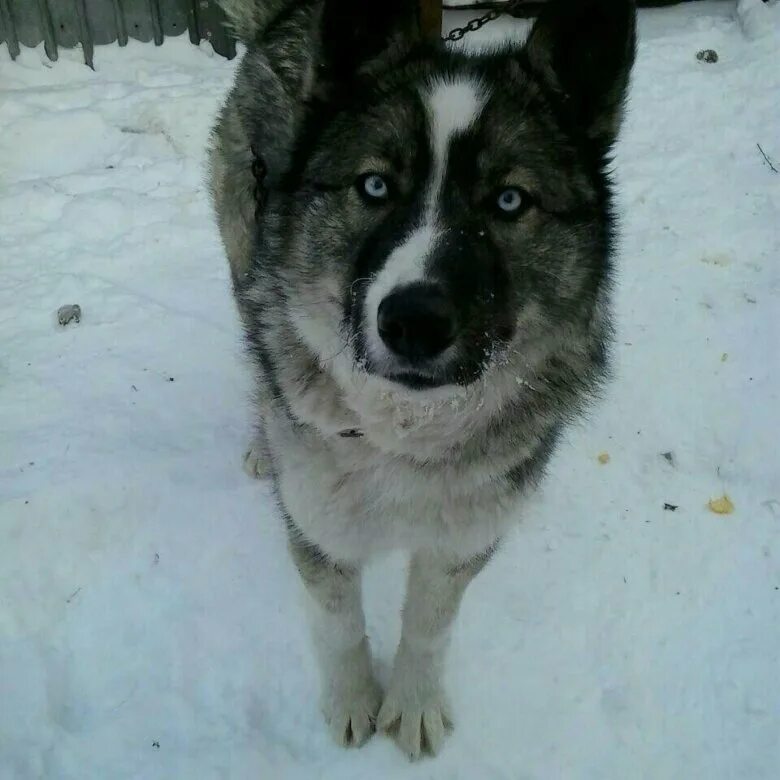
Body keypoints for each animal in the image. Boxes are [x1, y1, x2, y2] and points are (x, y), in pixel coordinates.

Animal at [207, 0, 632, 760]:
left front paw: (412, 704)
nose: (413, 321)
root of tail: (290, 16)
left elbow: (431, 624)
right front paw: (353, 702)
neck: (405, 431)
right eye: (375, 186)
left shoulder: (465, 535)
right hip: (242, 249)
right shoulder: (318, 523)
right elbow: (339, 623)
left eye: (509, 201)